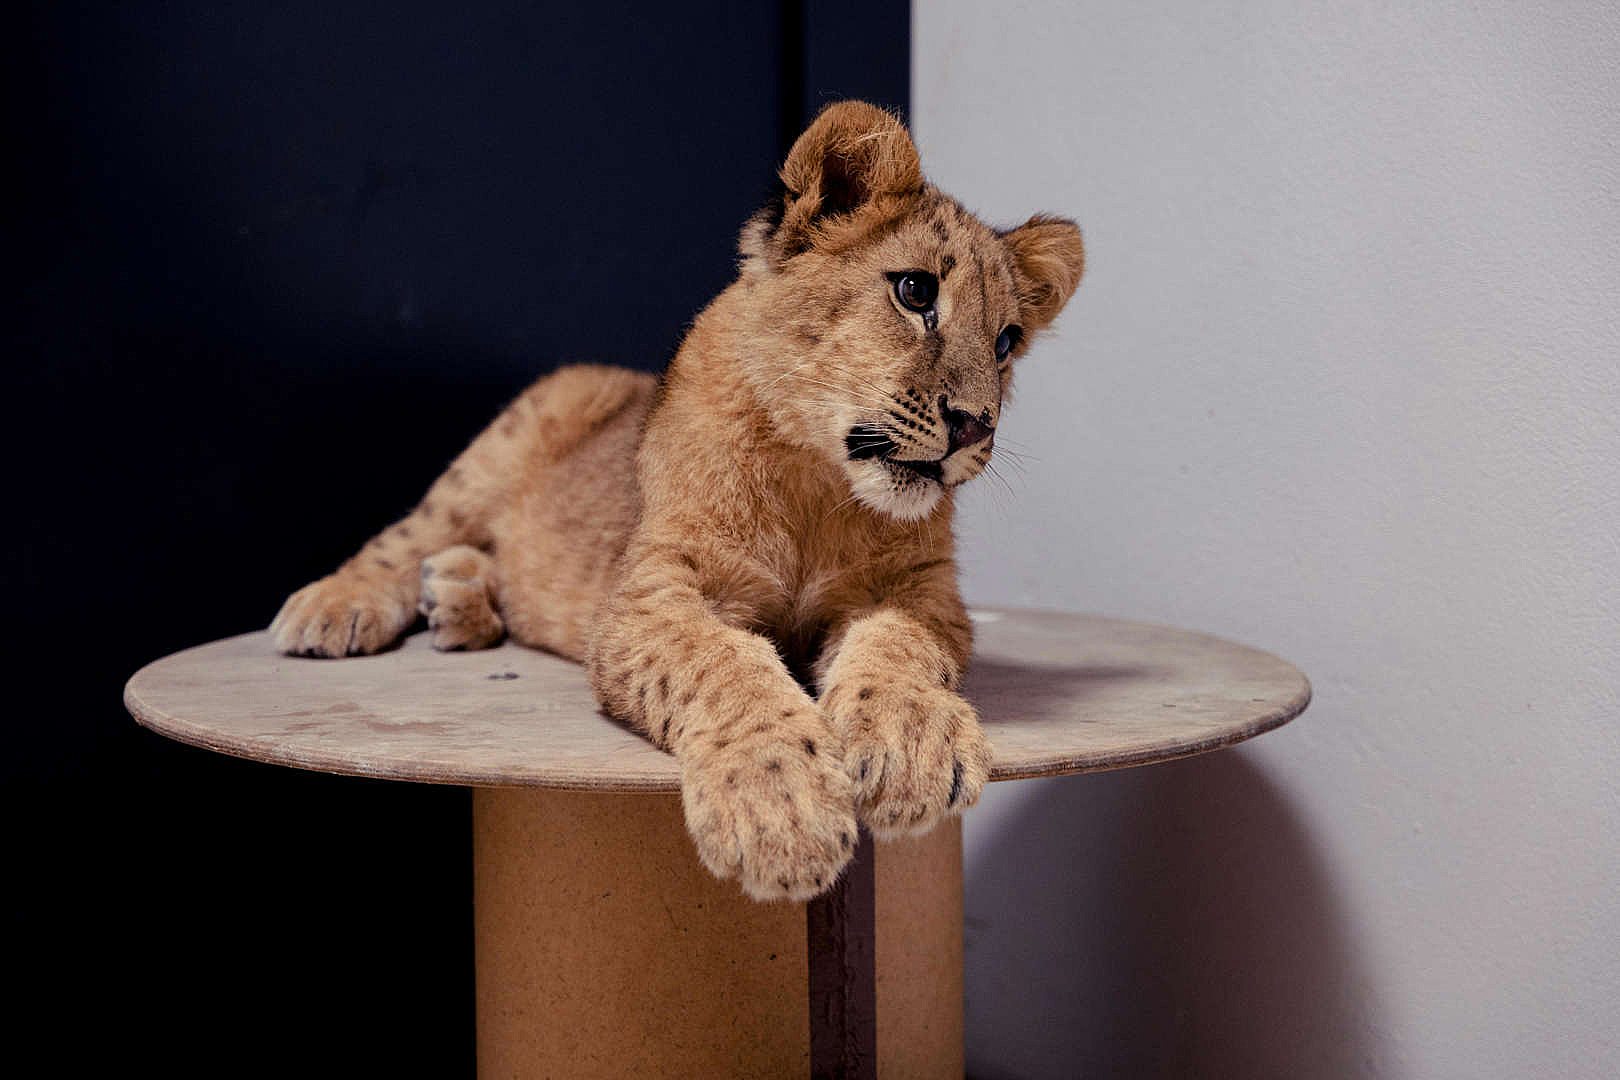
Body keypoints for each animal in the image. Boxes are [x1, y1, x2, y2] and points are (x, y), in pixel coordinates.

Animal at [271, 101, 1085, 900]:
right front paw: (779, 806)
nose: (976, 425)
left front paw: (910, 746)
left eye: (1007, 341)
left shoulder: (921, 593)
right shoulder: (651, 595)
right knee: (407, 536)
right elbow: (723, 663)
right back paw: (333, 609)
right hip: (506, 441)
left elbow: (898, 648)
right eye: (915, 293)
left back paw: (457, 597)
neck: (818, 480)